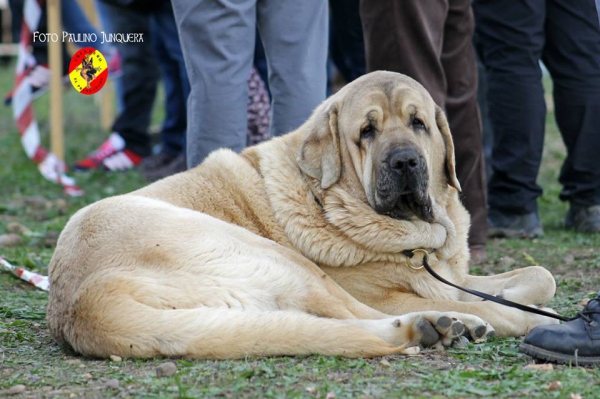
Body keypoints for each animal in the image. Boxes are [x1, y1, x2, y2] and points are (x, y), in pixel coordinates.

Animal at [48, 71, 556, 360]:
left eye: (419, 124)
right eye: (366, 132)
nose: (405, 162)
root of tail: (83, 304)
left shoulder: (451, 273)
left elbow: (540, 274)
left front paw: (517, 294)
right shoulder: (392, 290)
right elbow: (491, 301)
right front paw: (523, 313)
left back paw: (434, 327)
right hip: (279, 258)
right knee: (352, 314)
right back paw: (448, 324)